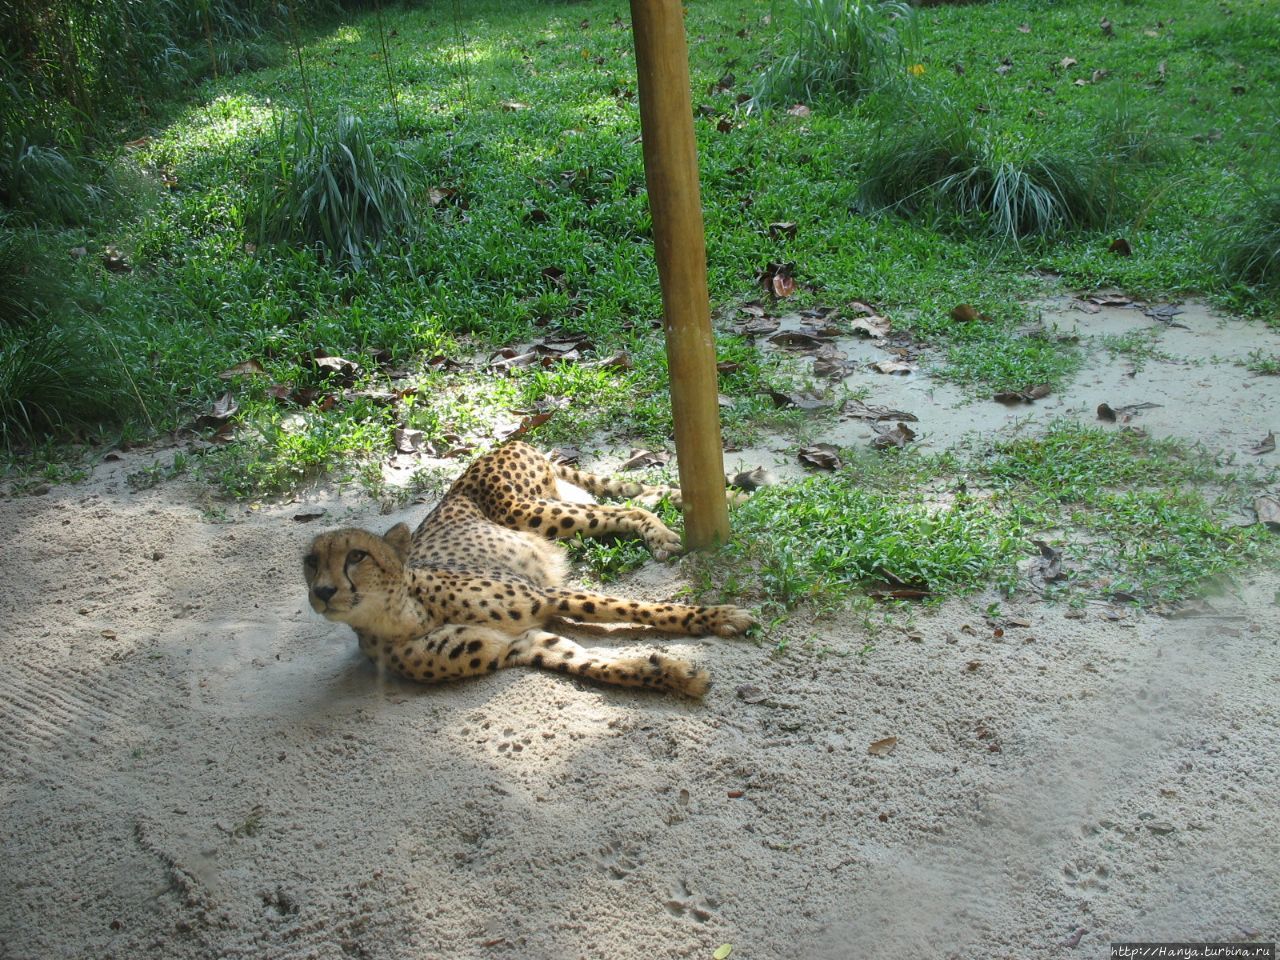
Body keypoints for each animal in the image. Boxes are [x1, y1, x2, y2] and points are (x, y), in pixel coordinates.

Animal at [305, 442, 752, 701]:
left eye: (357, 556)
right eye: (310, 563)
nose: (323, 592)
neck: (399, 615)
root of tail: (509, 441)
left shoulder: (547, 596)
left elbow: (640, 608)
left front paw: (720, 616)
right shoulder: (520, 645)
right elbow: (594, 665)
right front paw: (672, 674)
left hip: (531, 511)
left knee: (625, 508)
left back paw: (667, 534)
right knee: (641, 496)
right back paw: (731, 498)